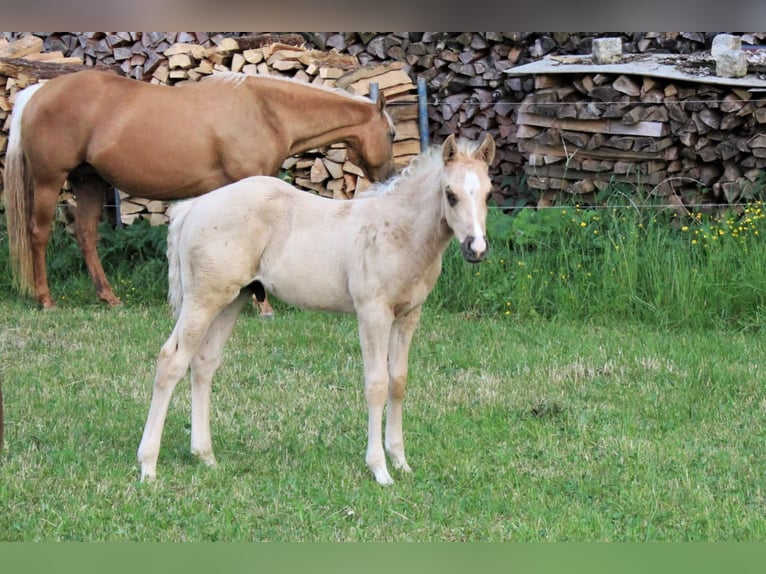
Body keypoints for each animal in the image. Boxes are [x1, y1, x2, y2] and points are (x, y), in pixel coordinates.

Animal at [3, 69, 396, 313]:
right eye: (391, 134)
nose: (390, 177)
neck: (264, 110)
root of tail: (37, 92)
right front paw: (263, 306)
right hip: (49, 180)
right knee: (38, 234)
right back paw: (46, 300)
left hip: (89, 181)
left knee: (85, 235)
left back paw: (109, 298)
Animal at [136, 133, 495, 485]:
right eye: (450, 194)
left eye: (488, 193)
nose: (476, 248)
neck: (398, 231)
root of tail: (194, 206)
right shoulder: (373, 314)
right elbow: (376, 385)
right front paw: (379, 469)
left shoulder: (409, 315)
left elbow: (398, 382)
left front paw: (400, 461)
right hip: (203, 299)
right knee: (171, 360)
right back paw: (148, 467)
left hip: (232, 299)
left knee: (204, 363)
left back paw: (205, 456)